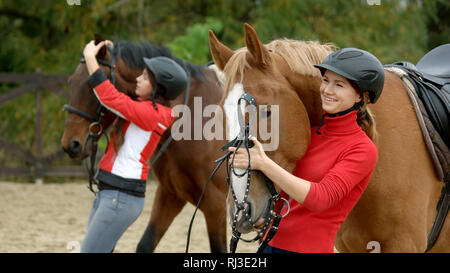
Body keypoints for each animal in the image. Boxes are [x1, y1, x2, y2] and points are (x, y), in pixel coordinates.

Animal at [60, 36, 229, 251]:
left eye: (92, 86)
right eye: (71, 82)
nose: (70, 144)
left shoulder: (216, 206)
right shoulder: (171, 194)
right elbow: (146, 243)